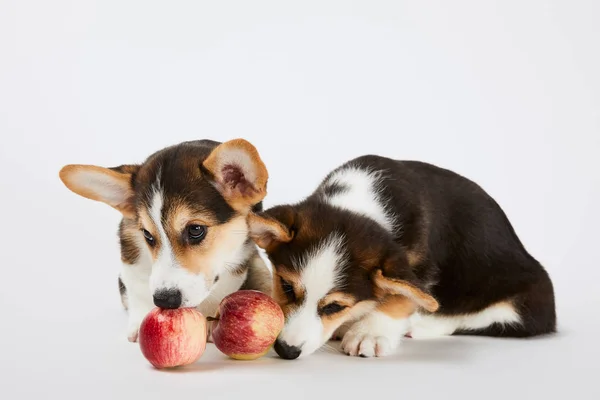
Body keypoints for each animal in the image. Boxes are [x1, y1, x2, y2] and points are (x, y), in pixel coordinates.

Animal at [59, 139, 270, 342]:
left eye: (196, 230)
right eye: (147, 235)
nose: (164, 301)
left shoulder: (242, 255)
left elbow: (222, 287)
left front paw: (212, 320)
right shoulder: (130, 243)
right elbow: (138, 285)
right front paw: (141, 321)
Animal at [246, 155, 556, 360]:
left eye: (334, 306)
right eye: (286, 287)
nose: (286, 351)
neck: (357, 205)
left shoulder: (418, 267)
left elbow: (400, 298)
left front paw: (369, 333)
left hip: (525, 300)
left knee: (478, 319)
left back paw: (417, 326)